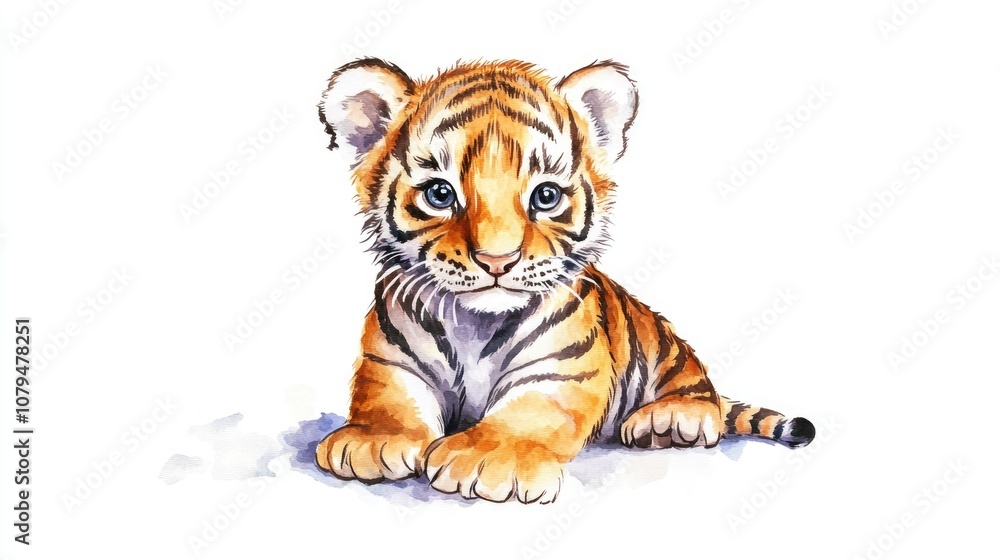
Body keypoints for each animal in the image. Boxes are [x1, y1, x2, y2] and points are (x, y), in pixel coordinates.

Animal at [314, 58, 815, 504]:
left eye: (546, 196)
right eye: (440, 193)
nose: (497, 260)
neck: (473, 325)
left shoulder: (562, 369)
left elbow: (529, 414)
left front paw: (489, 460)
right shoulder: (390, 359)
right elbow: (387, 399)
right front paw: (370, 440)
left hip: (670, 354)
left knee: (699, 392)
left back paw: (669, 420)